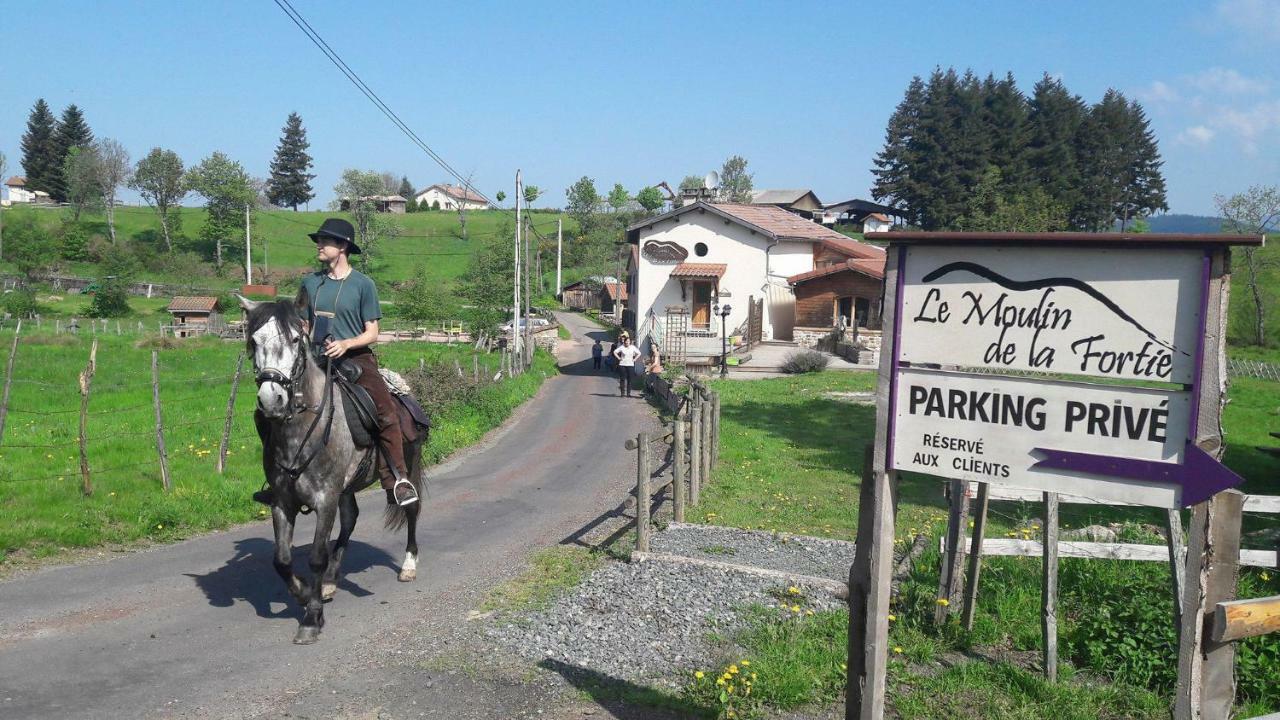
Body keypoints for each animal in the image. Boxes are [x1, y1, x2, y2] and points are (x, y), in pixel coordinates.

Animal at [241, 292, 432, 645]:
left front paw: (311, 618)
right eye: (254, 341)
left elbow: (316, 555)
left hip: (406, 466)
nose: (271, 400)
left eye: (295, 339)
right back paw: (330, 581)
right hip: (347, 487)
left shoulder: (325, 499)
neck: (303, 427)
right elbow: (282, 560)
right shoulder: (282, 502)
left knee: (411, 509)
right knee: (351, 519)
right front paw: (305, 593)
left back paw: (408, 565)